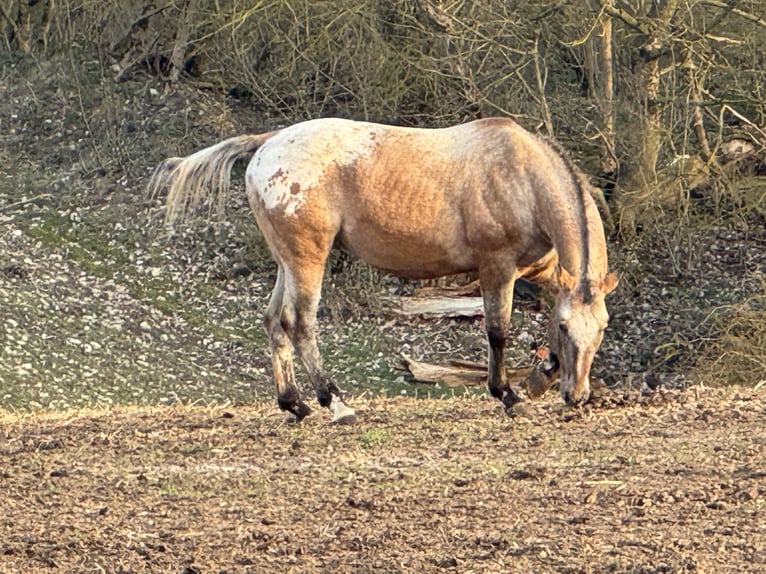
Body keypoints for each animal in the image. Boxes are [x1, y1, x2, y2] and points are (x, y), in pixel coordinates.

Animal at [149, 117, 618, 423]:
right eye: (567, 328)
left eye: (601, 329)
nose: (578, 396)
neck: (520, 175)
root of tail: (270, 142)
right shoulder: (497, 269)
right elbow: (498, 332)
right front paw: (508, 394)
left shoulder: (540, 272)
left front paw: (542, 376)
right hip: (307, 260)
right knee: (299, 323)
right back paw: (334, 402)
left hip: (287, 261)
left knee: (274, 322)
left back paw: (295, 404)